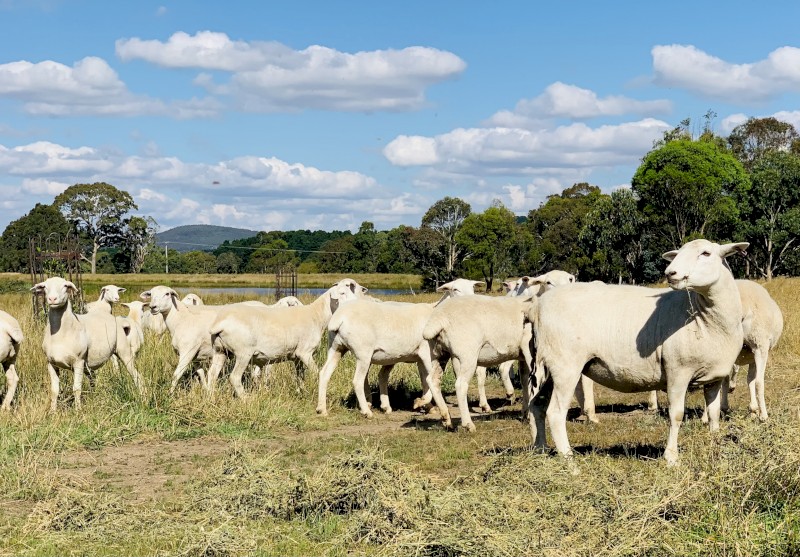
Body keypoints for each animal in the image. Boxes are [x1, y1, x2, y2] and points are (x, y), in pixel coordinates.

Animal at [32, 277, 144, 411]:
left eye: (65, 286)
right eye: (44, 287)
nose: (52, 299)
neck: (61, 332)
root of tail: (118, 320)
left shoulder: (78, 362)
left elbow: (76, 389)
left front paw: (78, 411)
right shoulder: (51, 363)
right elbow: (54, 391)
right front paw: (53, 412)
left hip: (124, 352)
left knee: (137, 376)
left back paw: (143, 397)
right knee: (94, 380)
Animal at [206, 279, 368, 398]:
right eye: (343, 291)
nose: (363, 295)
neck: (317, 315)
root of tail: (220, 323)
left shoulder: (297, 357)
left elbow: (300, 376)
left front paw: (301, 391)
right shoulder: (305, 352)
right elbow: (316, 372)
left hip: (220, 351)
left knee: (212, 375)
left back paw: (211, 397)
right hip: (243, 352)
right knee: (234, 377)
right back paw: (246, 399)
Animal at [315, 278, 482, 418]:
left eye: (473, 289)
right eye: (455, 289)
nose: (471, 301)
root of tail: (339, 317)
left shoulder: (420, 357)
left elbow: (425, 380)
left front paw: (426, 404)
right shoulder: (426, 354)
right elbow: (431, 380)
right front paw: (423, 403)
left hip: (336, 348)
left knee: (324, 373)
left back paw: (322, 409)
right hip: (363, 353)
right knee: (358, 381)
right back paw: (367, 411)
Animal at [422, 294, 536, 431]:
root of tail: (439, 318)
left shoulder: (524, 355)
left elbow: (525, 382)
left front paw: (526, 414)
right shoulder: (530, 349)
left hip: (439, 353)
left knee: (433, 380)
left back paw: (447, 420)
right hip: (467, 354)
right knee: (460, 385)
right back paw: (468, 424)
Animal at [525, 239, 748, 465]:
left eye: (706, 253)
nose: (670, 273)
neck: (705, 318)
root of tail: (537, 307)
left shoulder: (715, 377)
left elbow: (714, 413)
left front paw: (715, 446)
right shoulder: (678, 371)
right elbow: (676, 415)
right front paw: (671, 458)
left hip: (547, 366)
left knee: (537, 406)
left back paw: (541, 450)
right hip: (566, 366)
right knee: (555, 412)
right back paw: (569, 462)